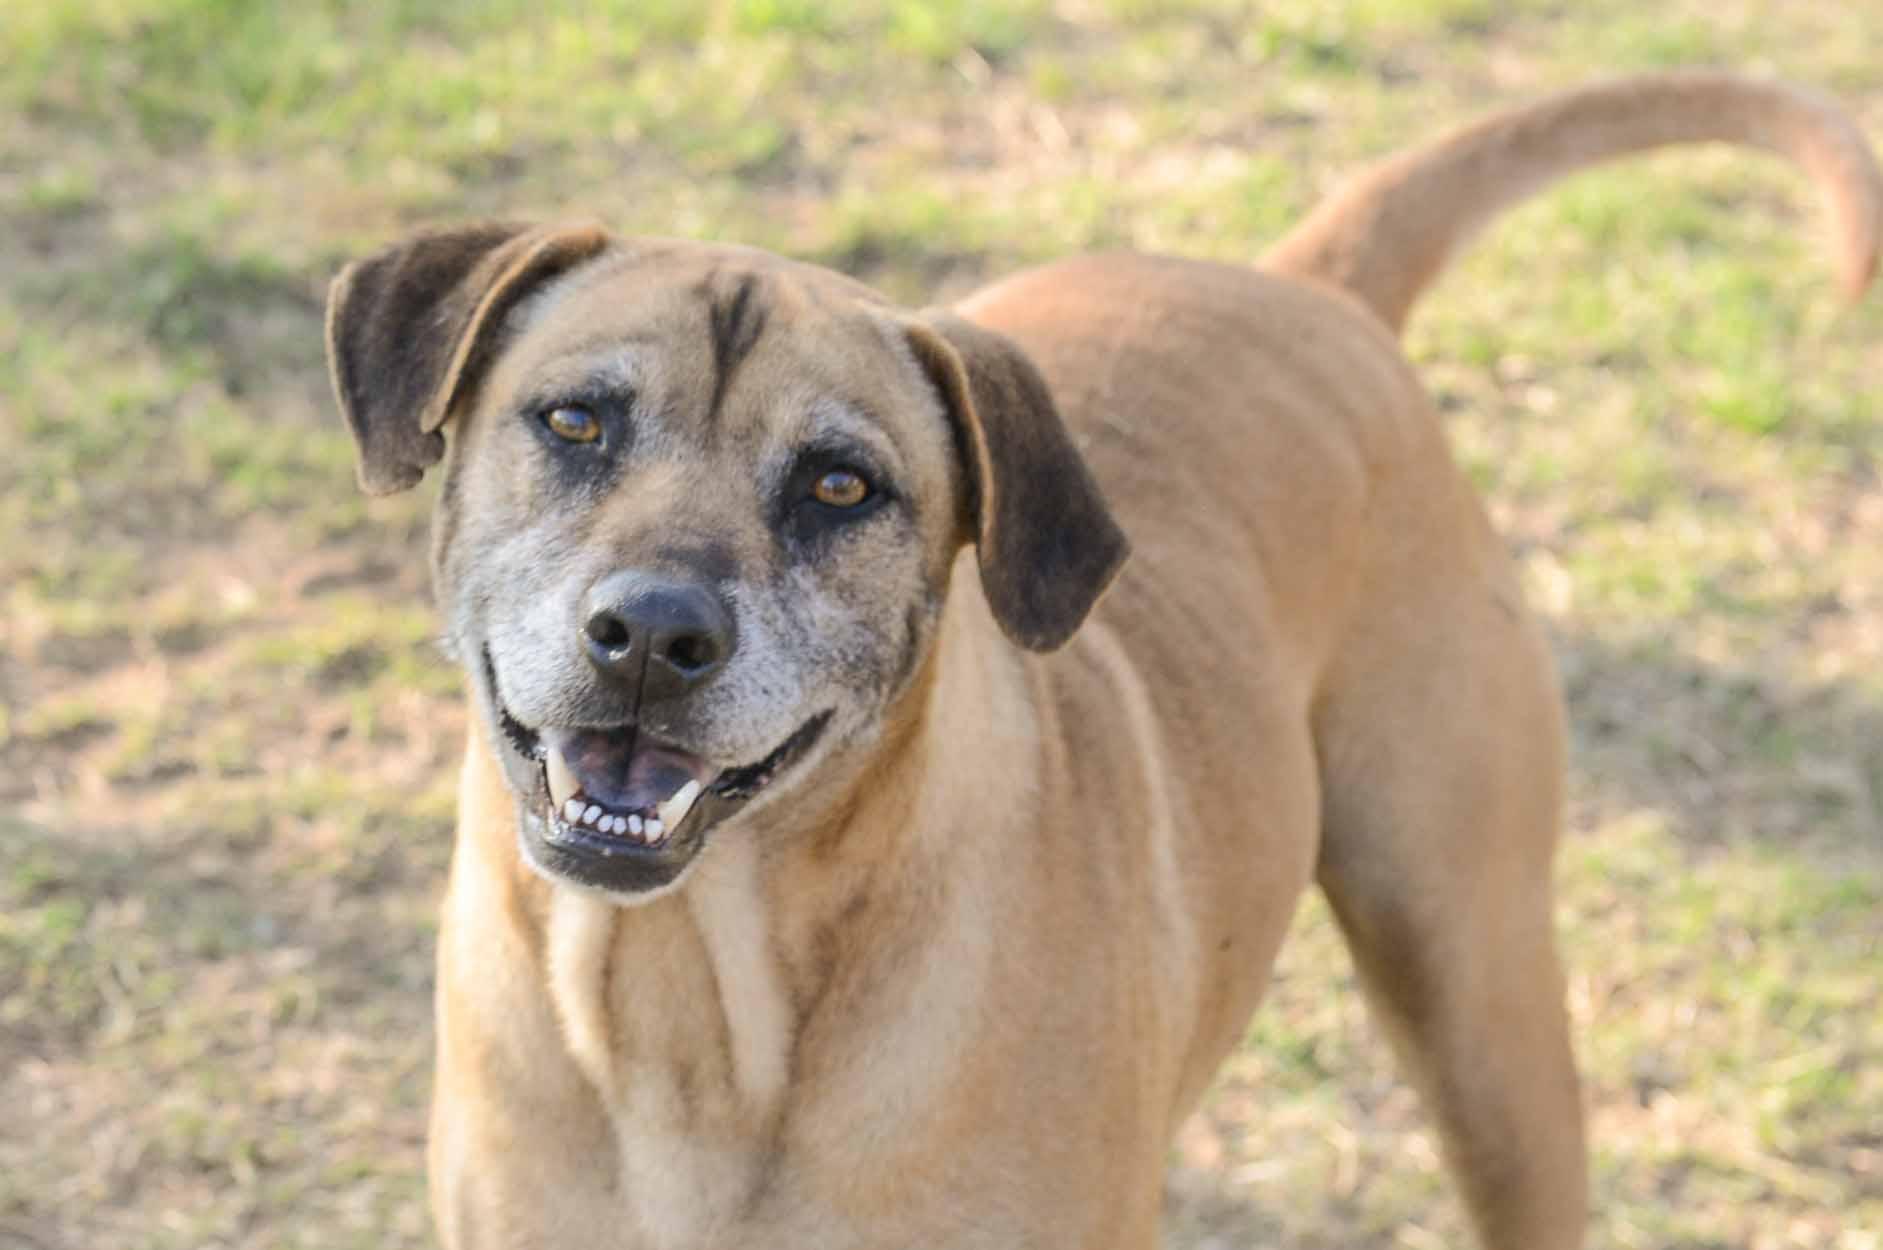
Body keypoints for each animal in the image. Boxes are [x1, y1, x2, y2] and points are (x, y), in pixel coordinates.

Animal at [327, 75, 1883, 1250]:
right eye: (574, 420)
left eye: (839, 486)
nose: (654, 632)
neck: (690, 1000)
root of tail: (1302, 291)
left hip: (1473, 992)